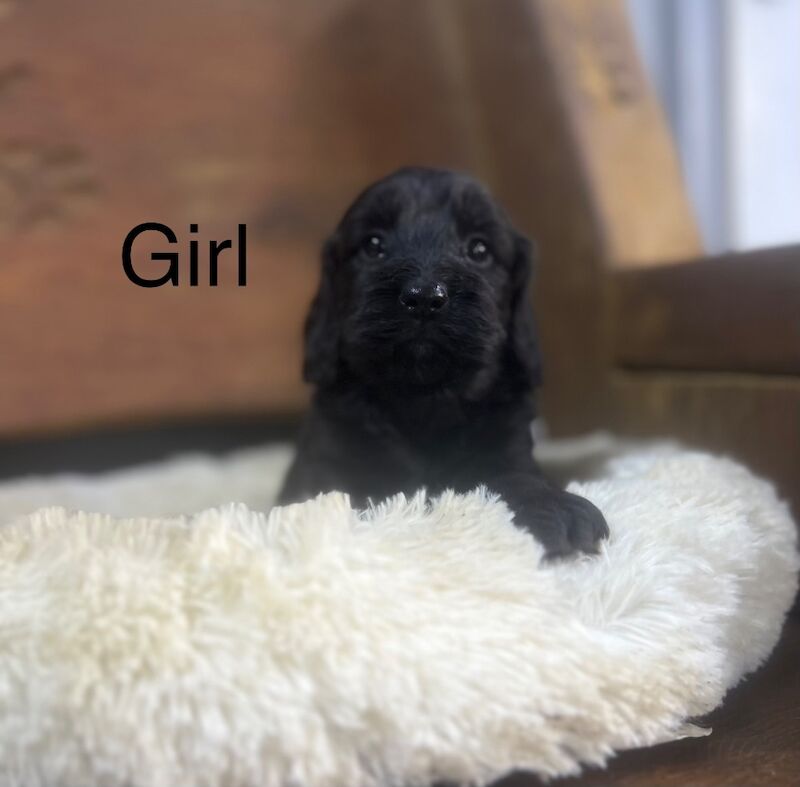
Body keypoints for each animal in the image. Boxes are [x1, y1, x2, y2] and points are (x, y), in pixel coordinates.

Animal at [280, 169, 608, 556]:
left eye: (479, 249)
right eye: (373, 245)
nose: (423, 297)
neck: (424, 398)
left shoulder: (508, 448)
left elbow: (516, 478)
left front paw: (552, 504)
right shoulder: (324, 461)